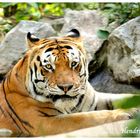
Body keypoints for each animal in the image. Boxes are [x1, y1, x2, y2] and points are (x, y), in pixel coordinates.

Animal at [0, 28, 137, 137]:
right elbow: (86, 117)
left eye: (73, 63)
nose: (65, 87)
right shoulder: (44, 122)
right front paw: (125, 112)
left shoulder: (95, 98)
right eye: (49, 66)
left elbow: (125, 97)